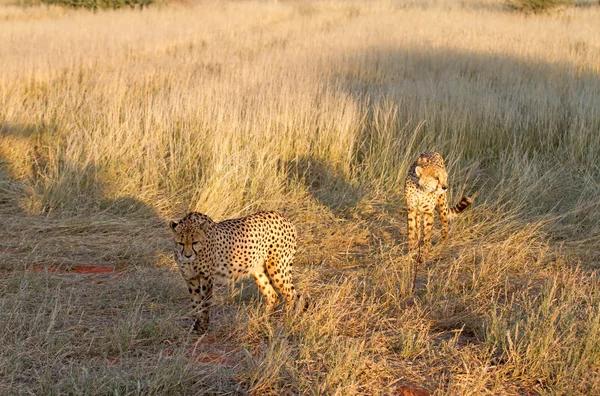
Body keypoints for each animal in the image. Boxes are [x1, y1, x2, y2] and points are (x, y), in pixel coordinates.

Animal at [169, 212, 302, 332]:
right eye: (180, 243)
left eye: (195, 242)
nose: (187, 255)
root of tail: (285, 218)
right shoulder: (191, 278)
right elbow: (195, 302)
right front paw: (196, 325)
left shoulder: (207, 277)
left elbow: (205, 303)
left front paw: (203, 327)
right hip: (258, 270)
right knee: (272, 296)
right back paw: (262, 320)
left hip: (277, 268)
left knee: (291, 295)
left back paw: (284, 321)